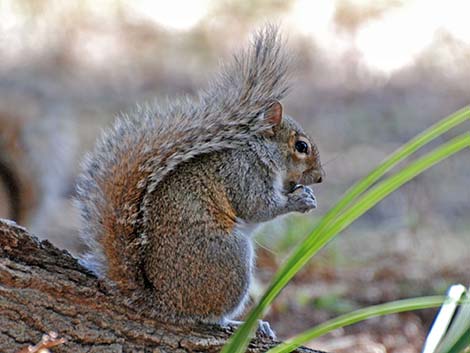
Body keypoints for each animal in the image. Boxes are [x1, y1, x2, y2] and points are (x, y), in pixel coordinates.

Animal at [77, 26, 324, 336]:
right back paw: (244, 325)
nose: (320, 177)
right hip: (231, 258)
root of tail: (164, 301)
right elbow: (258, 208)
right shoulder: (242, 174)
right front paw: (300, 200)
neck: (258, 152)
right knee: (207, 317)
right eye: (301, 146)